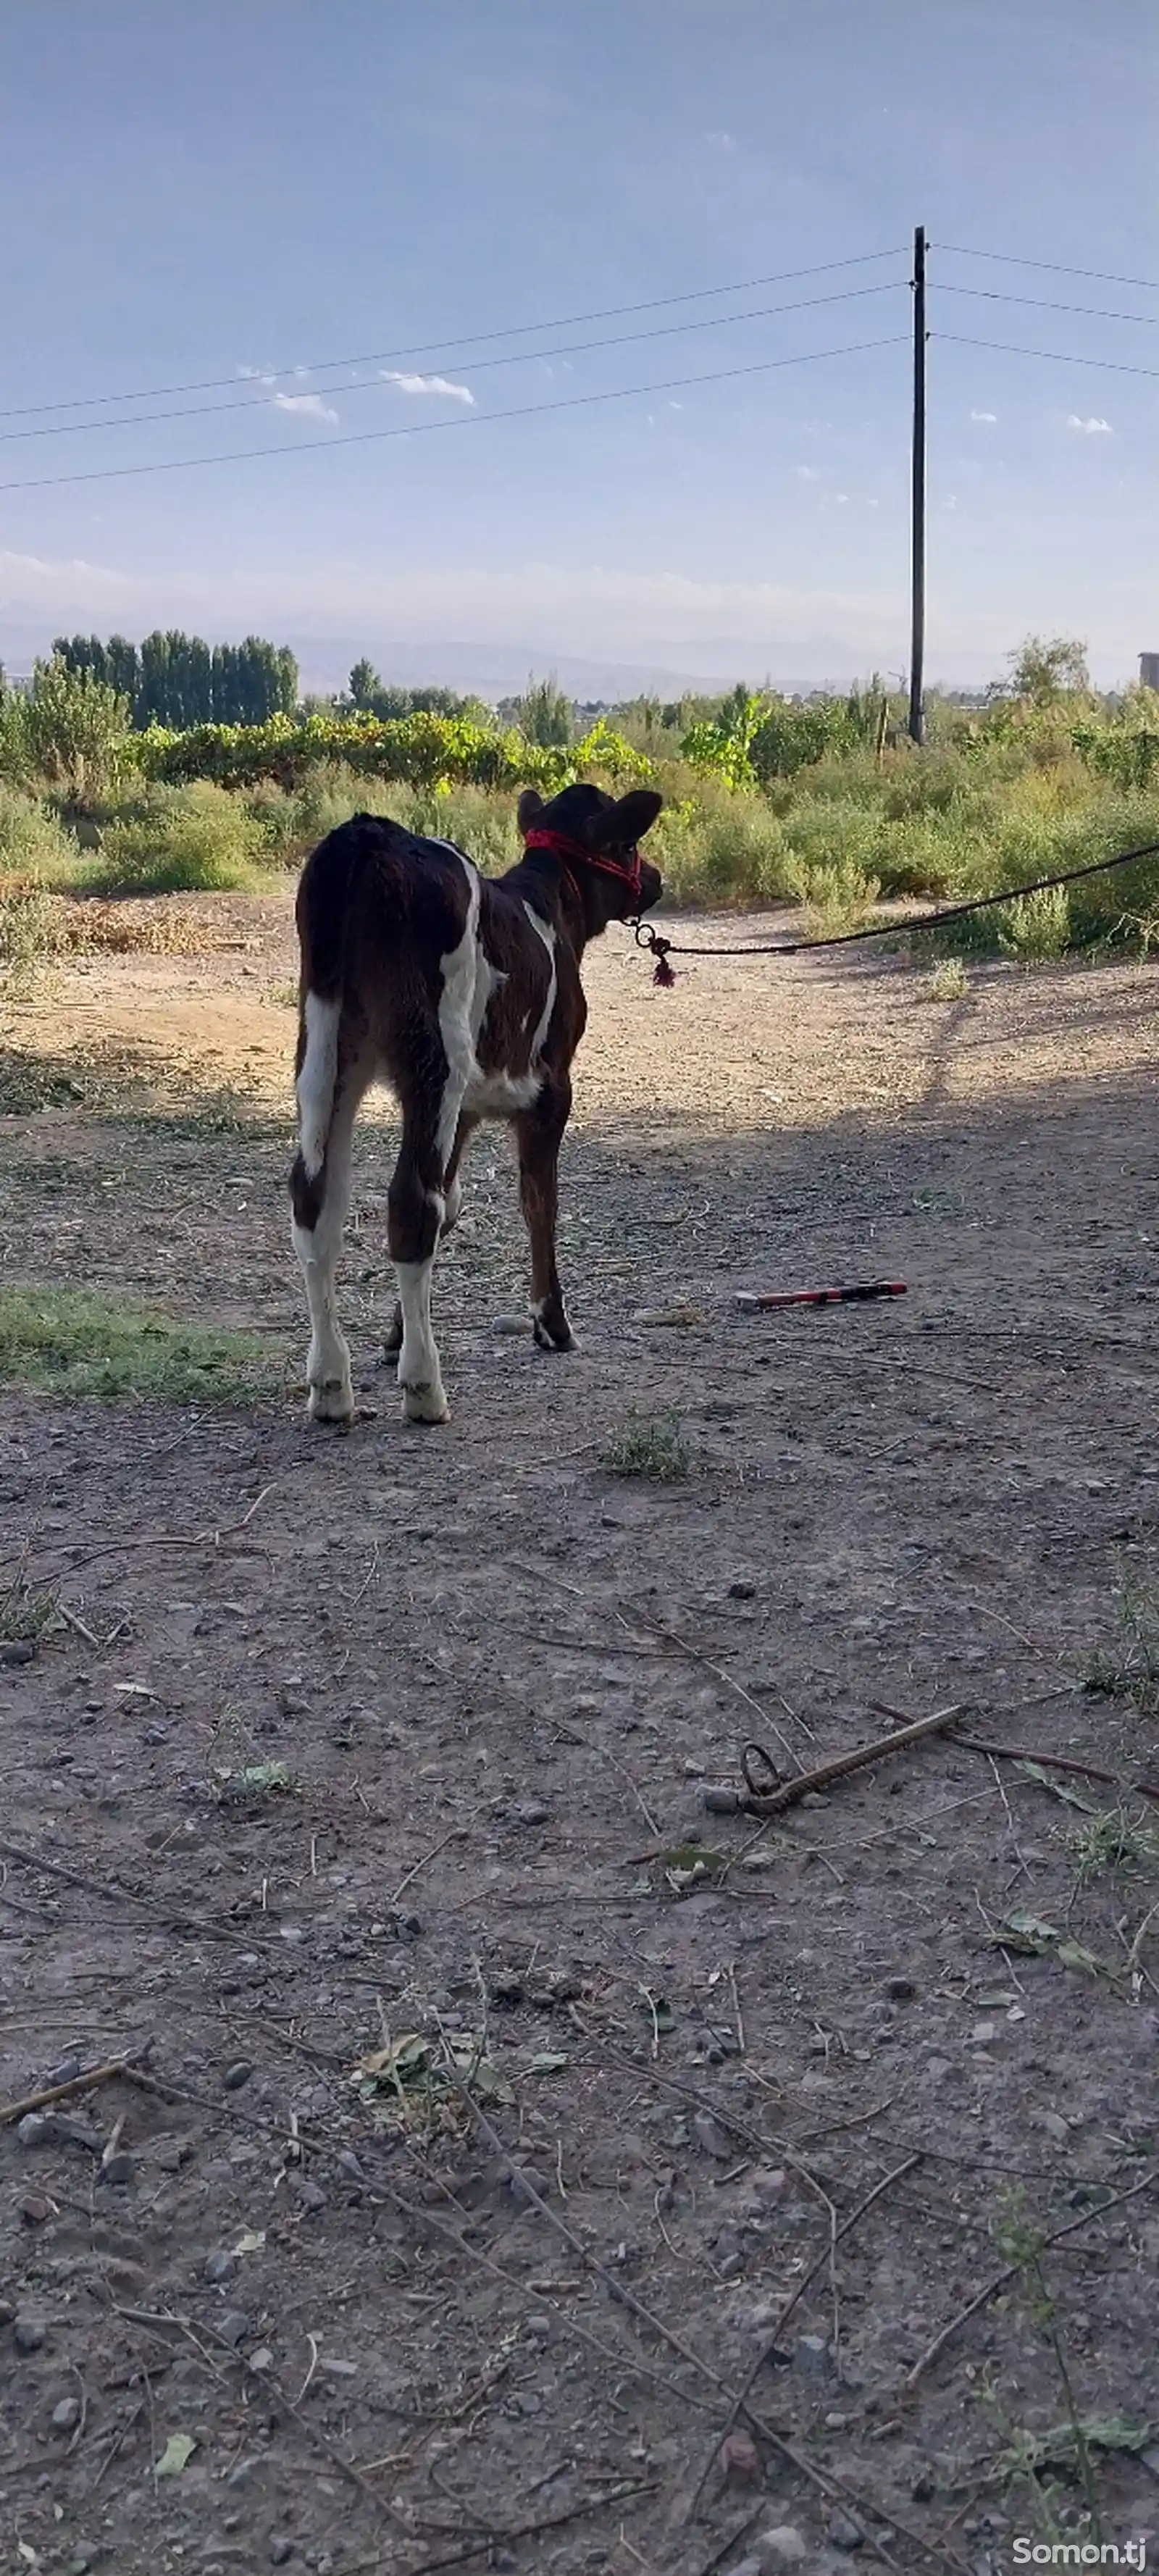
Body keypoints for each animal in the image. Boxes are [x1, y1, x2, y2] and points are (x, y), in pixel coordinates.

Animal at [287, 783, 659, 1432]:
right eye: (629, 845)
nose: (658, 879)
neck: (549, 905)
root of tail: (368, 835)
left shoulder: (464, 1109)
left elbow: (453, 1203)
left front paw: (394, 1335)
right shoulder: (552, 1088)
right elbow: (539, 1201)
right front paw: (552, 1322)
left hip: (328, 1042)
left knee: (317, 1196)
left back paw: (332, 1384)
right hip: (435, 1053)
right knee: (410, 1201)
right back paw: (424, 1388)